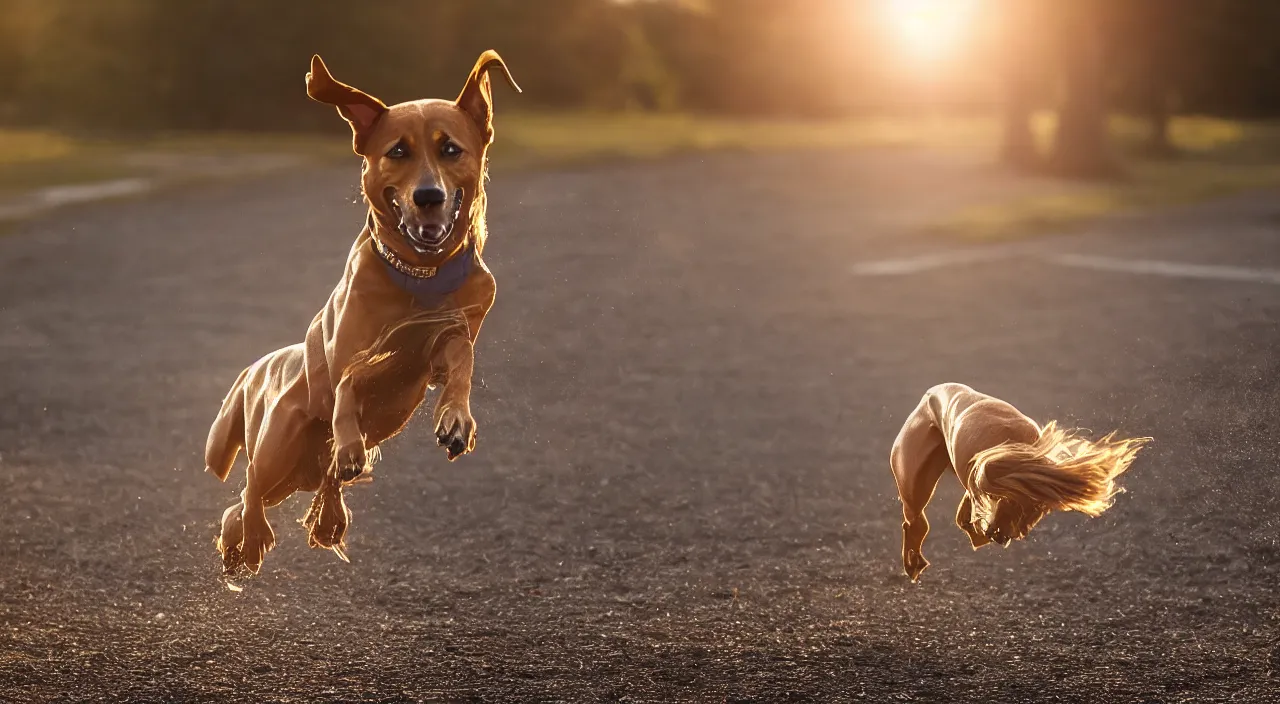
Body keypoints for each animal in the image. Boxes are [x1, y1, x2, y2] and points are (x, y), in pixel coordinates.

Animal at [202, 52, 517, 576]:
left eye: (451, 149)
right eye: (397, 151)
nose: (428, 196)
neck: (420, 276)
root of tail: (257, 369)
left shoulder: (449, 336)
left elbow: (461, 363)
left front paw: (456, 420)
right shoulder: (345, 349)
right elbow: (348, 380)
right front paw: (350, 443)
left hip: (299, 473)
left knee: (282, 492)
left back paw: (317, 519)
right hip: (277, 448)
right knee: (248, 491)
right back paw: (248, 539)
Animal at [890, 386, 1152, 586]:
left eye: (1038, 511)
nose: (1005, 536)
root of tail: (931, 393)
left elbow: (969, 515)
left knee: (938, 519)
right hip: (916, 480)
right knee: (915, 520)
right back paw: (914, 562)